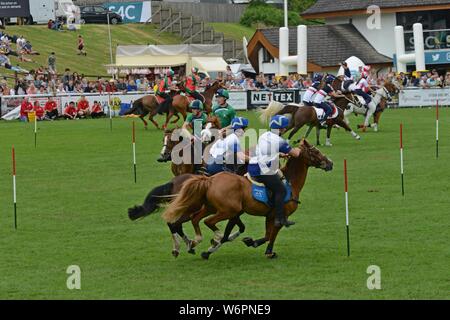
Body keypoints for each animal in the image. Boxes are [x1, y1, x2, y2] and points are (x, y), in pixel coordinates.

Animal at [163, 139, 334, 258]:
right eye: (316, 152)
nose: (330, 163)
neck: (291, 181)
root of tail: (210, 180)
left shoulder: (268, 215)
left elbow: (266, 235)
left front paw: (250, 242)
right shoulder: (279, 216)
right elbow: (271, 235)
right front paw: (268, 251)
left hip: (210, 207)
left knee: (194, 220)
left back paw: (195, 241)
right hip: (226, 210)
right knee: (204, 222)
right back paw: (209, 239)